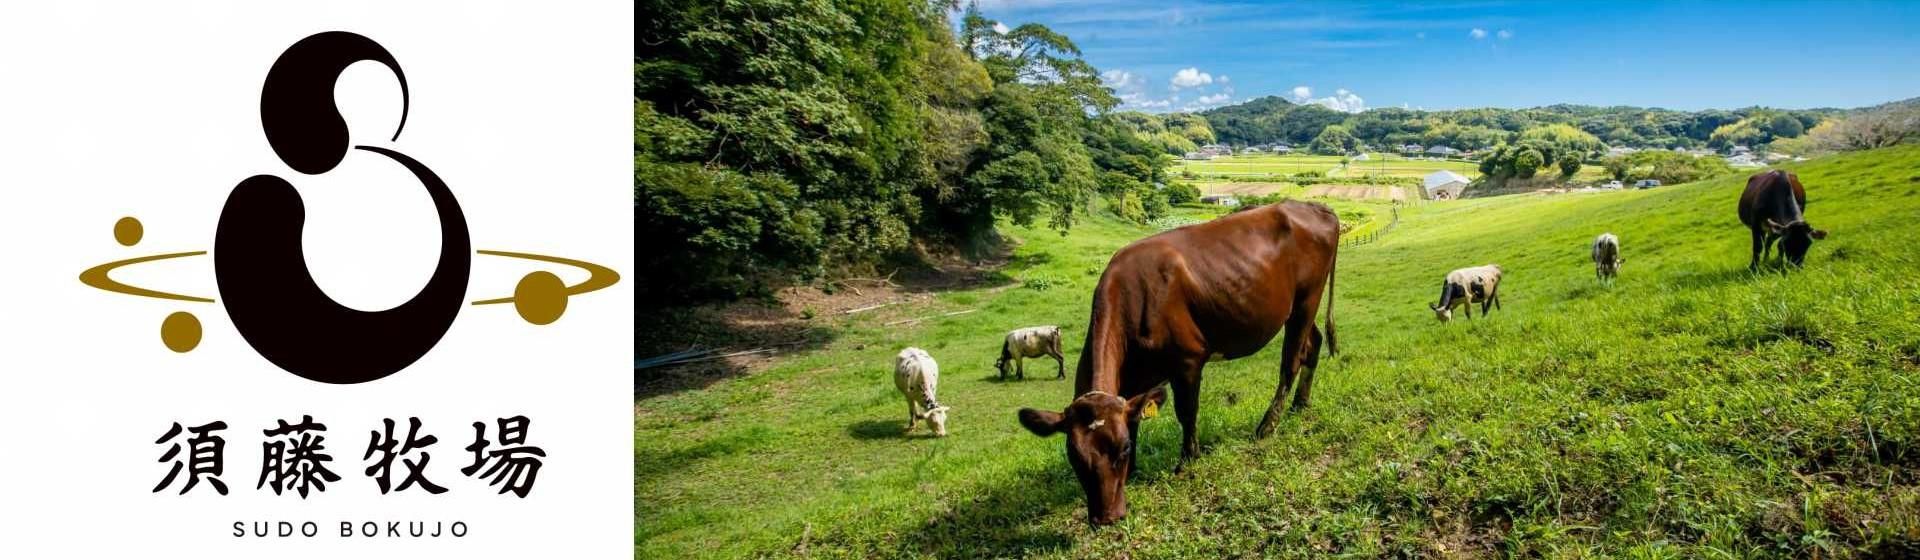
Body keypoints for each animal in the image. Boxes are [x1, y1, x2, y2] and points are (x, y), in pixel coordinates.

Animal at [1021, 200, 1336, 525]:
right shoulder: (1135, 381)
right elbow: (1134, 417)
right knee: (1313, 345)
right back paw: (1301, 403)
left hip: (1307, 298)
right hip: (1297, 308)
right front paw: (1134, 472)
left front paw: (1187, 460)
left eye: (1122, 449)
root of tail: (1313, 206)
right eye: (1074, 456)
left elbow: (1187, 412)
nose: (1106, 517)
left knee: (1291, 361)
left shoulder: (1187, 360)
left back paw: (1268, 425)